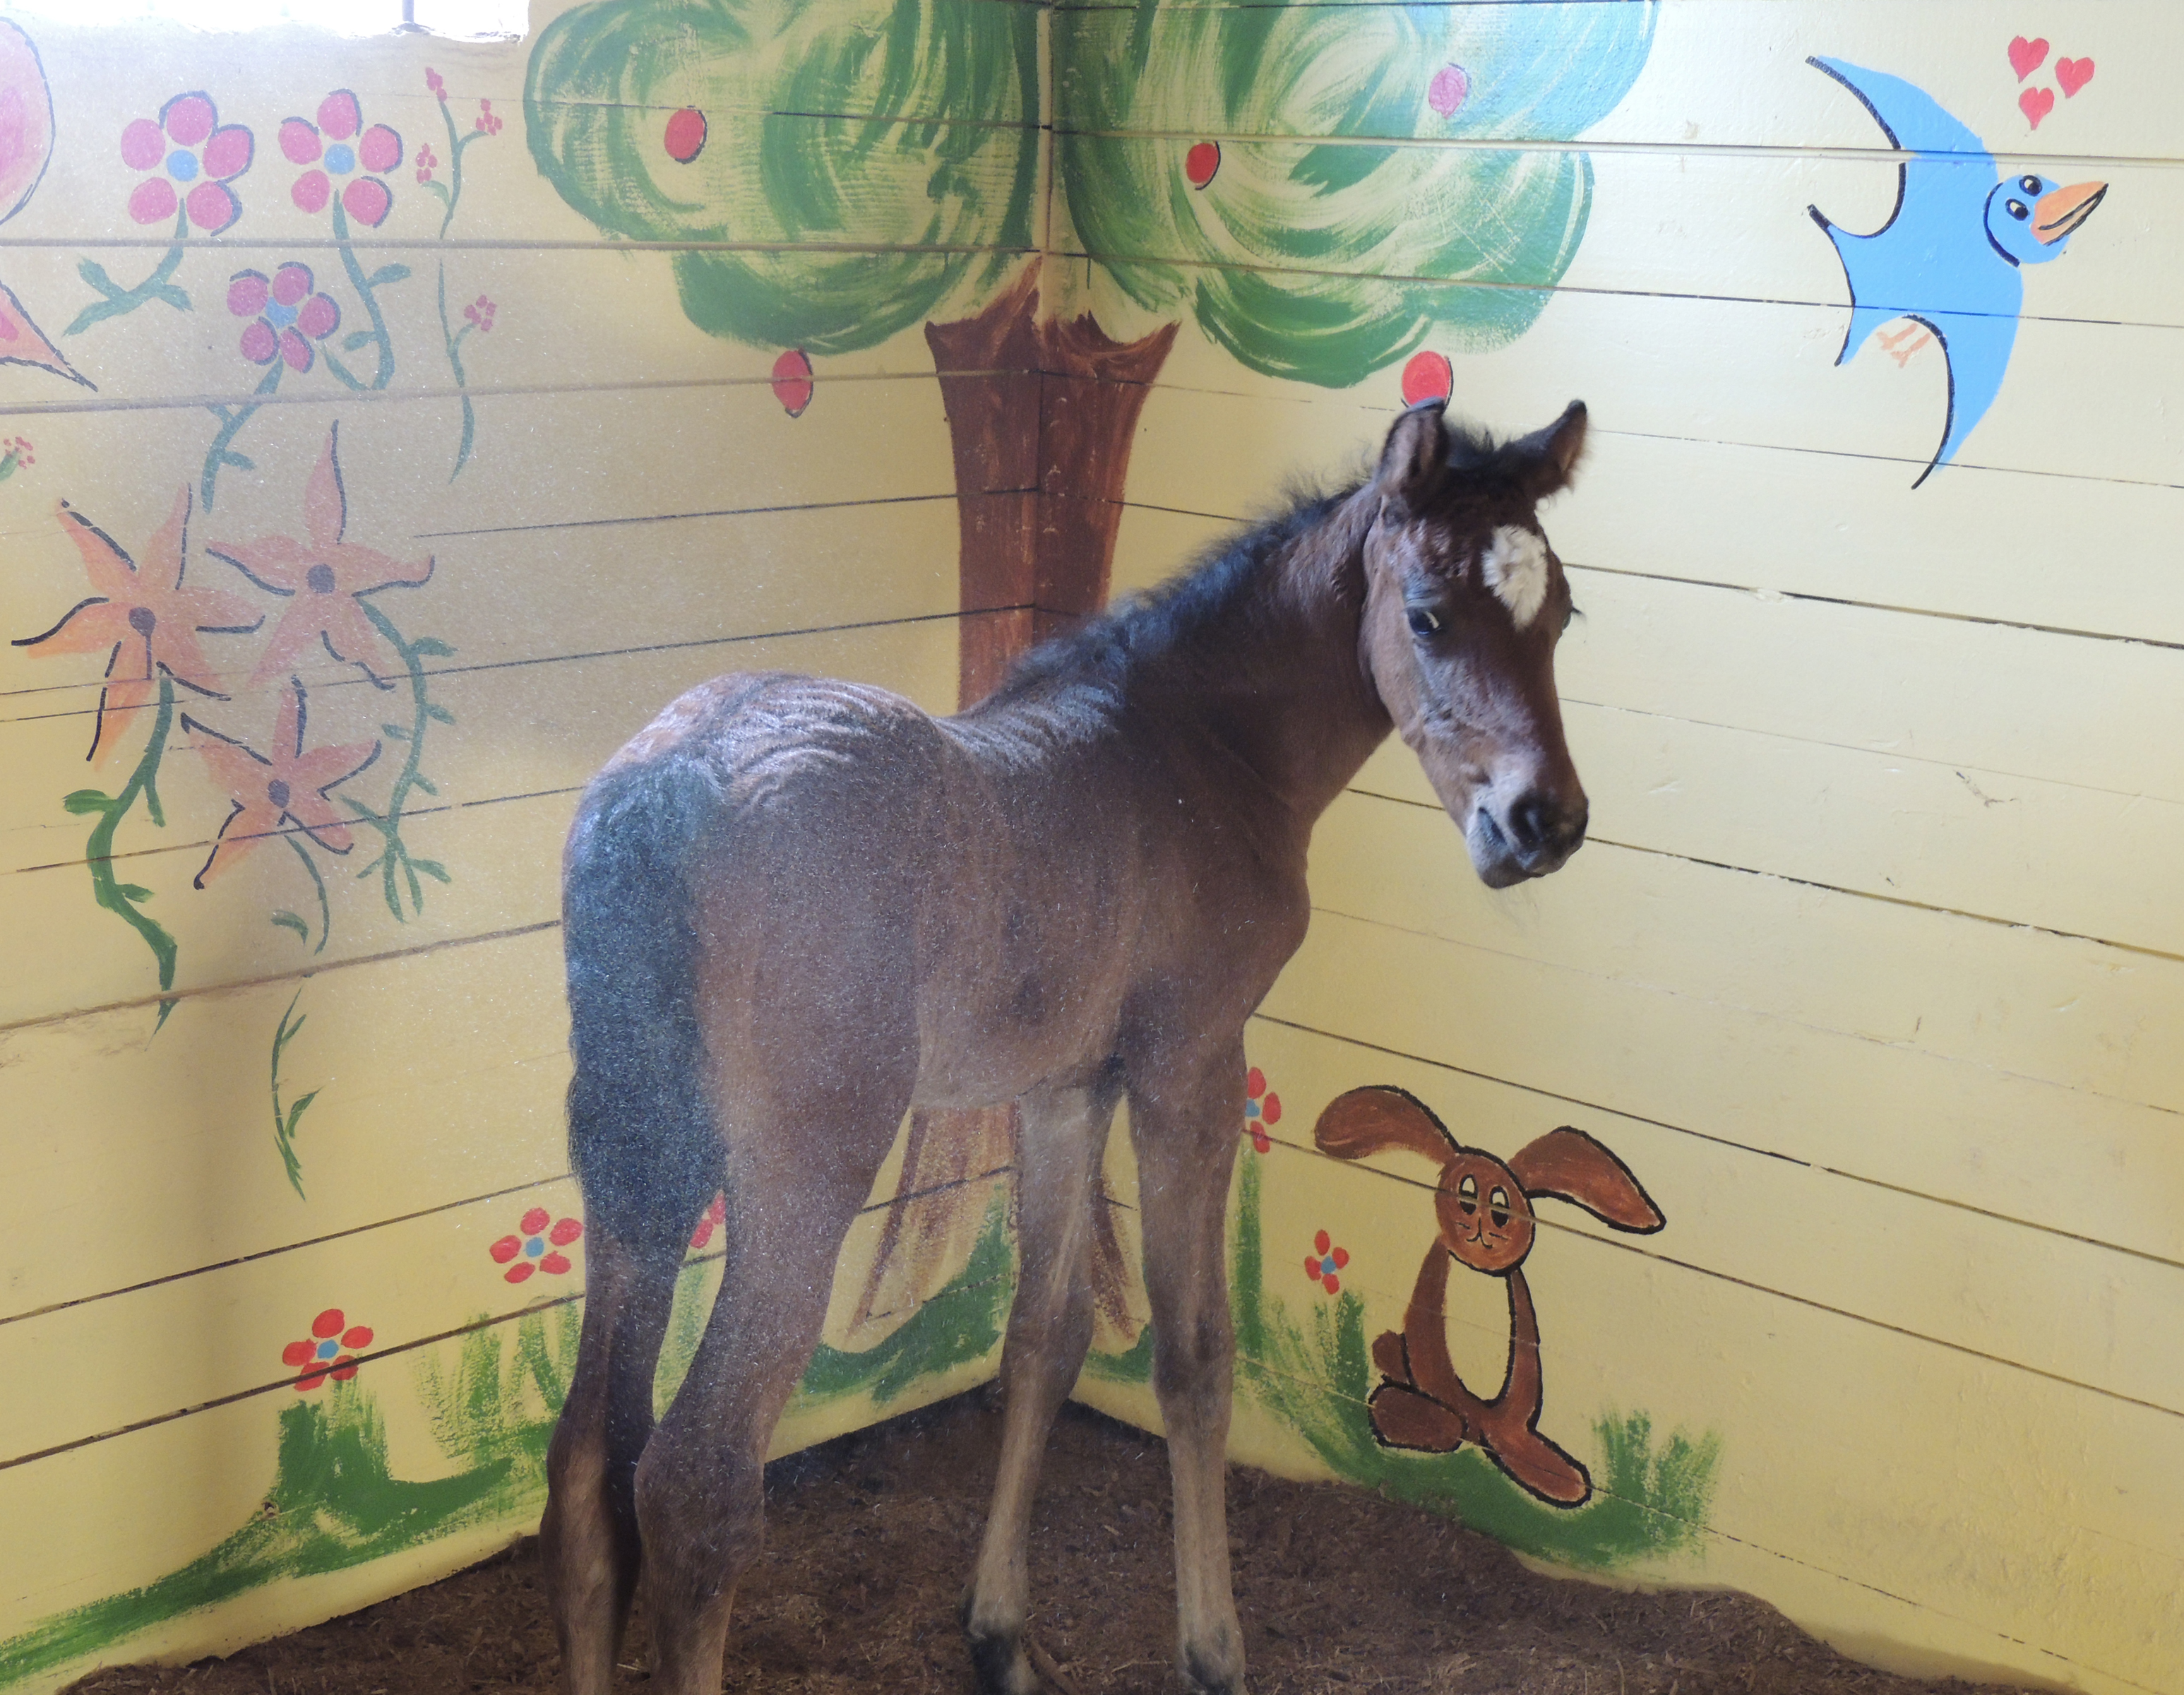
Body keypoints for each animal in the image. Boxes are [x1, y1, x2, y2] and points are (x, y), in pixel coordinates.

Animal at [528, 397, 1589, 1695]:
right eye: (1428, 614)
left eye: (1560, 614)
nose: (1540, 823)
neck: (1202, 752)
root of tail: (670, 778)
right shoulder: (1190, 1061)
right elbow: (1193, 1352)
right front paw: (1212, 1650)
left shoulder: (1061, 1088)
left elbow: (1044, 1335)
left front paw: (999, 1636)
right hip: (805, 1167)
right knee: (693, 1484)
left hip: (634, 1150)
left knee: (588, 1468)